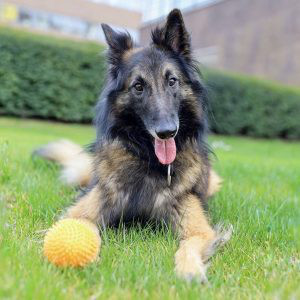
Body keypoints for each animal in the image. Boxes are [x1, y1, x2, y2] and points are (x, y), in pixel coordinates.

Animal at [35, 8, 232, 282]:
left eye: (172, 81)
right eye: (138, 86)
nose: (166, 132)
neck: (148, 161)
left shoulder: (198, 227)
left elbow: (188, 246)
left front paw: (189, 270)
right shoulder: (83, 212)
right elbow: (83, 229)